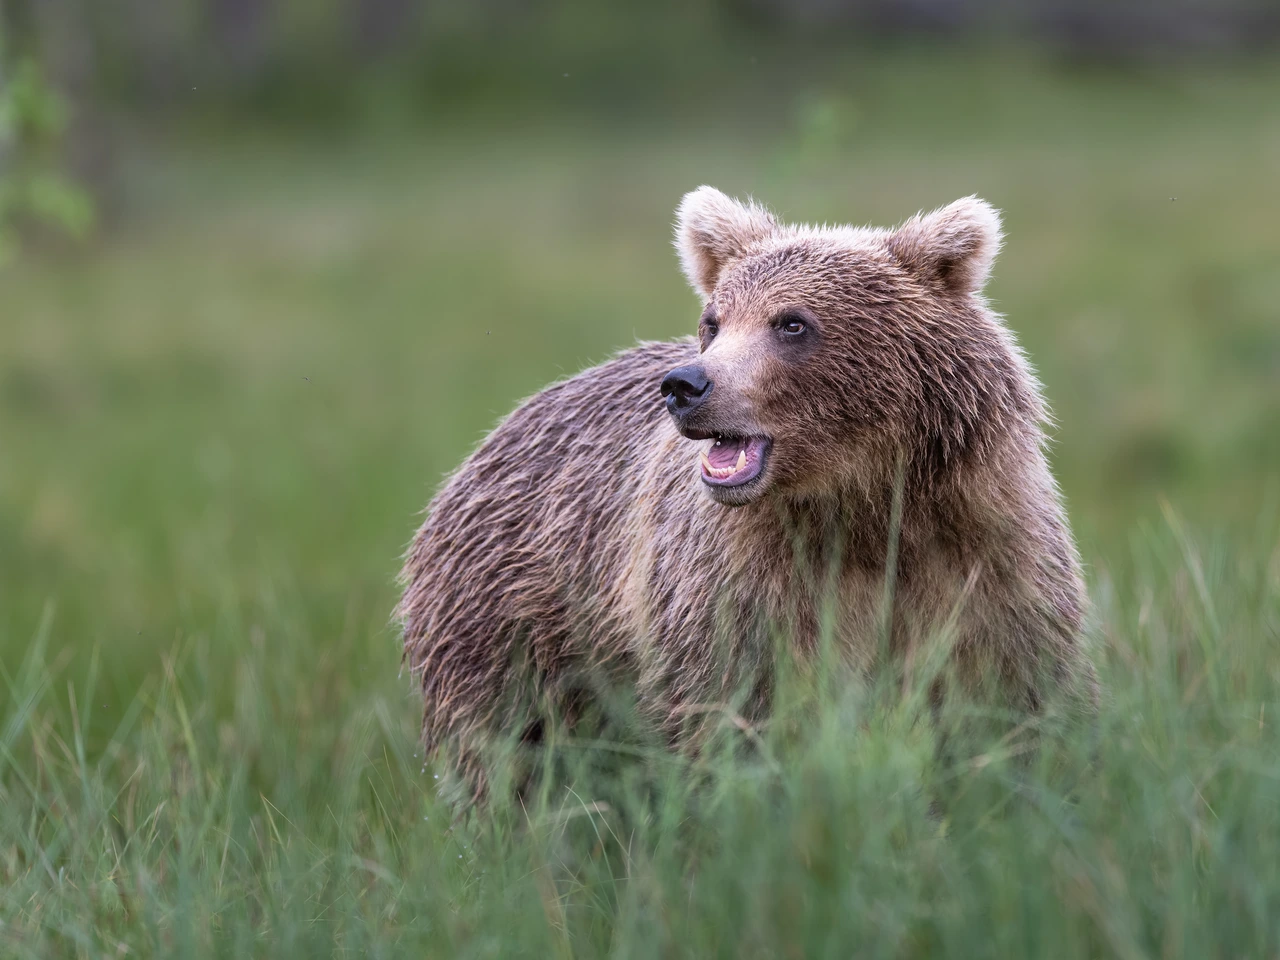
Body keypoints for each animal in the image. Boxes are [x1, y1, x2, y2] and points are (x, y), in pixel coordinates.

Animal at [399, 187, 1096, 797]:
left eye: (791, 323)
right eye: (713, 321)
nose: (685, 385)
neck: (861, 510)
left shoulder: (987, 562)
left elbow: (1015, 705)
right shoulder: (738, 594)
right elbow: (736, 715)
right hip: (514, 628)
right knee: (513, 762)